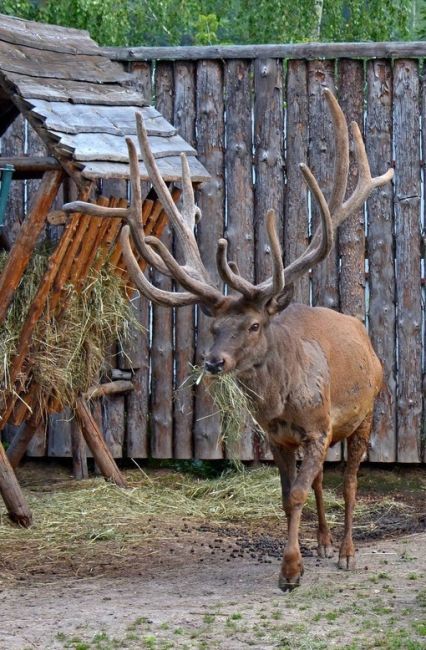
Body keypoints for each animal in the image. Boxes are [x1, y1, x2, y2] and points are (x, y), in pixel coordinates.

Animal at [63, 88, 392, 588]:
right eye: (213, 326)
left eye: (254, 325)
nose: (214, 361)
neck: (283, 399)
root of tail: (362, 333)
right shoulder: (280, 436)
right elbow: (288, 495)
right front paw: (297, 559)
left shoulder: (317, 426)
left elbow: (300, 494)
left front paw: (290, 572)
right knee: (320, 480)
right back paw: (323, 543)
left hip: (366, 412)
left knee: (352, 480)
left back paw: (347, 552)